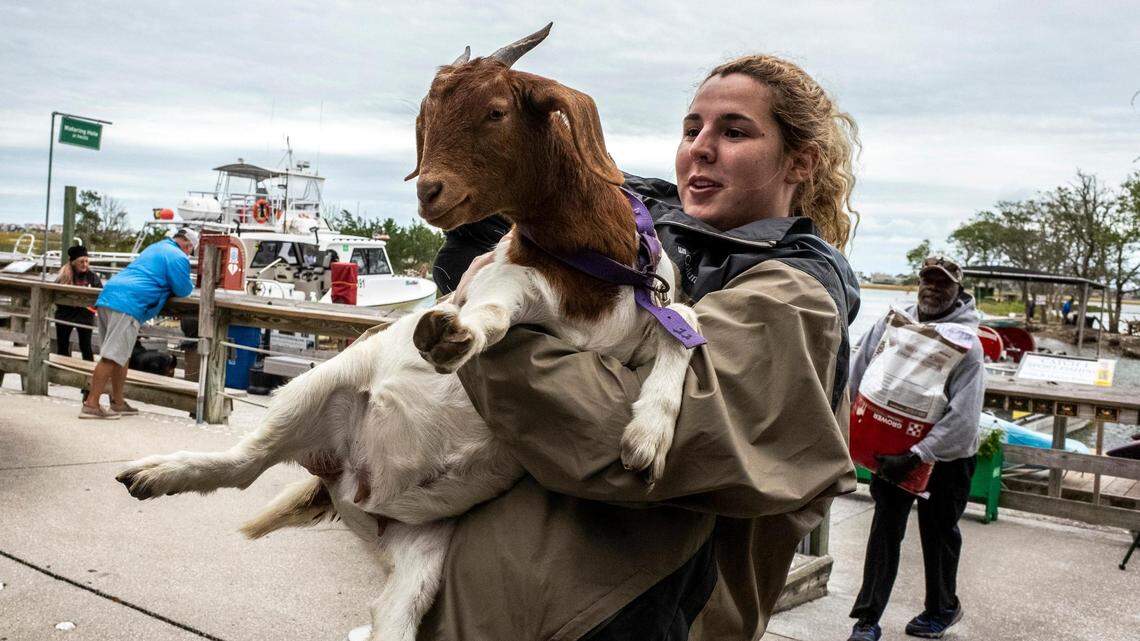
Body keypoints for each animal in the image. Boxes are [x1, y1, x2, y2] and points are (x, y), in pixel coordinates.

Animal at [114, 23, 700, 641]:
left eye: (496, 111)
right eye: (425, 117)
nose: (429, 192)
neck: (600, 268)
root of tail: (352, 487)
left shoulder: (647, 307)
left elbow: (686, 325)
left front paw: (648, 436)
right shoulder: (507, 276)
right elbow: (498, 306)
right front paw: (455, 332)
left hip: (420, 548)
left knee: (391, 617)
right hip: (319, 385)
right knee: (245, 462)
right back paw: (156, 474)